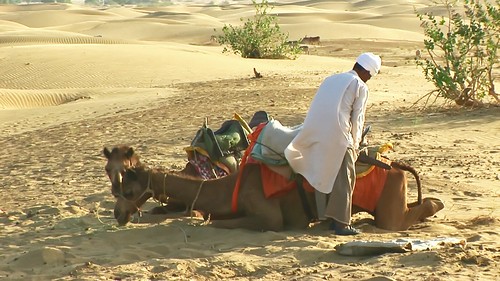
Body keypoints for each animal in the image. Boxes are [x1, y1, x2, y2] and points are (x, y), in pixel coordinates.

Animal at [103, 145, 444, 231]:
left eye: (128, 191)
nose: (118, 214)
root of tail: (396, 164)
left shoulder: (271, 218)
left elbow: (216, 222)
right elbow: (211, 216)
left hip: (388, 208)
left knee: (400, 218)